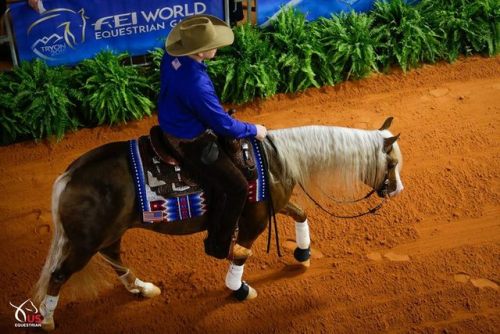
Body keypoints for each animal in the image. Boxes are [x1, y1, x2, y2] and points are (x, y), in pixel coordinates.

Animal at [34, 116, 402, 330]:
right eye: (392, 163)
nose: (397, 189)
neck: (276, 158)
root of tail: (70, 176)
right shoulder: (254, 220)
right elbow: (240, 254)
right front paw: (239, 288)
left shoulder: (275, 202)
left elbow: (301, 213)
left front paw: (303, 253)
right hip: (85, 242)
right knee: (60, 275)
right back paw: (48, 319)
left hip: (108, 234)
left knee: (113, 257)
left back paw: (142, 288)